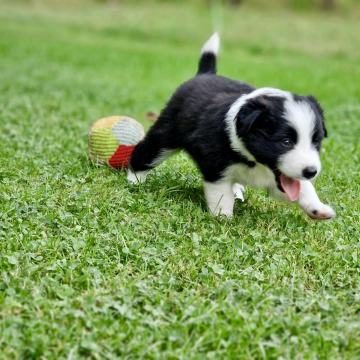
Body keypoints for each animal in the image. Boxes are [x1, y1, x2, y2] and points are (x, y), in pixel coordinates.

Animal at [126, 33, 334, 219]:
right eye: (286, 142)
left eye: (316, 143)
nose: (311, 171)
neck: (252, 159)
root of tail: (205, 74)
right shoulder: (216, 168)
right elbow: (221, 195)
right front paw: (223, 218)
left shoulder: (278, 179)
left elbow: (303, 188)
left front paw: (318, 209)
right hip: (167, 133)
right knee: (146, 153)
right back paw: (134, 180)